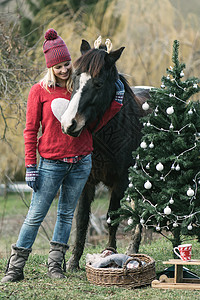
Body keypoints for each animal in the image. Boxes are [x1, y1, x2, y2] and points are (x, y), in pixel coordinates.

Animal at [60, 37, 150, 270]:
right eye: (75, 78)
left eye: (98, 84)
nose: (69, 124)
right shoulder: (86, 180)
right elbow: (82, 218)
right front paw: (73, 261)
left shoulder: (120, 181)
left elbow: (112, 218)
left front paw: (110, 252)